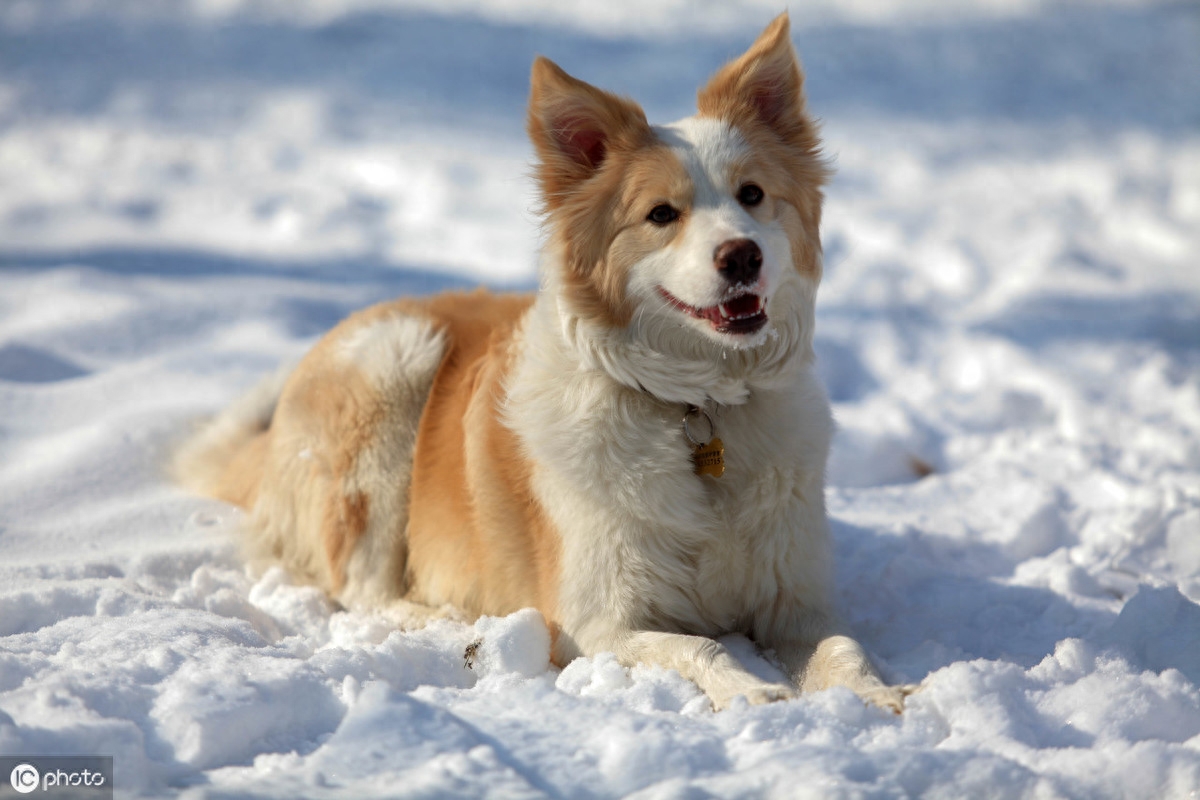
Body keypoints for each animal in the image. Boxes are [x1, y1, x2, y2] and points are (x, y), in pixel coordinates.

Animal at [174, 12, 907, 714]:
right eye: (661, 214)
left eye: (752, 195)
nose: (741, 256)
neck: (698, 407)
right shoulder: (596, 624)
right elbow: (700, 648)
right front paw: (752, 691)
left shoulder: (796, 603)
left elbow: (841, 646)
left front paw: (876, 696)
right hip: (394, 368)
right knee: (362, 587)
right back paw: (454, 624)